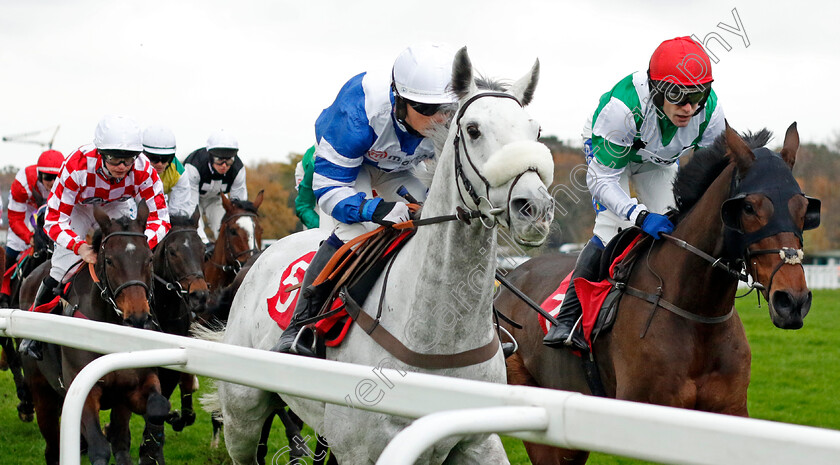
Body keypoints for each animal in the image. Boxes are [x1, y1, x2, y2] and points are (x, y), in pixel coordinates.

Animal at [19, 202, 170, 464]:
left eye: (149, 259)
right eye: (109, 260)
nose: (138, 316)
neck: (107, 331)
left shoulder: (135, 386)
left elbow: (158, 408)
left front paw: (153, 445)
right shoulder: (83, 390)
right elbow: (99, 448)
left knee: (120, 443)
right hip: (42, 393)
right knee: (52, 448)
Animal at [213, 48, 556, 464]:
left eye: (535, 131)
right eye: (473, 130)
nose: (534, 208)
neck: (439, 337)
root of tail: (260, 256)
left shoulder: (478, 441)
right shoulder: (360, 448)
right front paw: (391, 213)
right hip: (242, 410)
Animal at [498, 123, 820, 464]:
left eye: (803, 208)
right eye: (748, 207)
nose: (792, 301)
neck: (695, 313)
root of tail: (510, 277)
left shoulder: (729, 412)